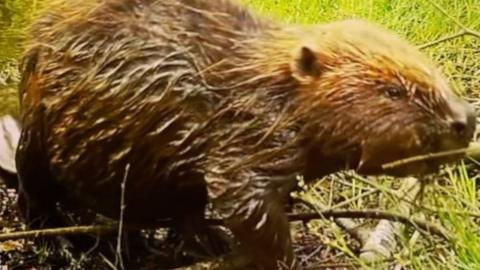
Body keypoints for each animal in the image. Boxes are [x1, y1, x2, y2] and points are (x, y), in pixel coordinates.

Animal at [16, 0, 474, 268]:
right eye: (393, 91)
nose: (466, 119)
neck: (265, 86)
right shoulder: (243, 136)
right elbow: (247, 203)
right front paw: (278, 257)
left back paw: (206, 241)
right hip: (36, 127)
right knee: (34, 187)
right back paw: (57, 240)